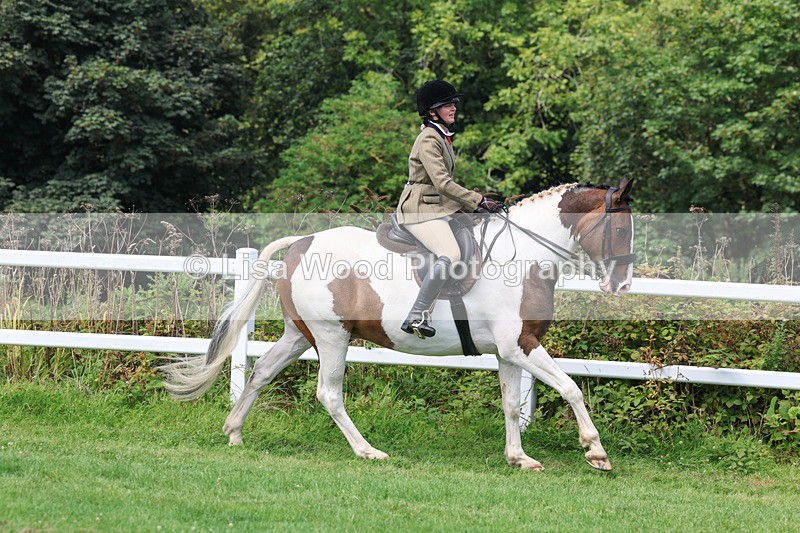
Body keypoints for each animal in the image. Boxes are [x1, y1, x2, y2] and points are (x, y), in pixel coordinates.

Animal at [162, 176, 635, 471]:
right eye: (620, 229)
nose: (623, 285)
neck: (523, 256)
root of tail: (301, 243)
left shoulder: (511, 350)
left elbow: (510, 404)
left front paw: (519, 459)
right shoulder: (521, 344)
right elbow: (571, 388)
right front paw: (596, 452)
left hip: (299, 334)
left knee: (260, 372)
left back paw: (234, 432)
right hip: (332, 336)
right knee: (328, 393)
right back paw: (368, 451)